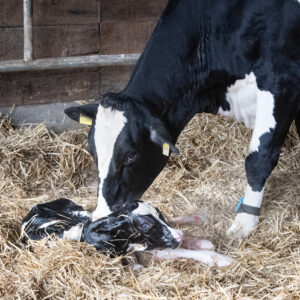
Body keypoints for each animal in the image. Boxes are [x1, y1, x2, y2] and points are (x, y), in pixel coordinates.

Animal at [65, 0, 300, 239]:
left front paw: (244, 222)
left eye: (131, 155)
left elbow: (258, 159)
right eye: (92, 150)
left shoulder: (282, 82)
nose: (101, 216)